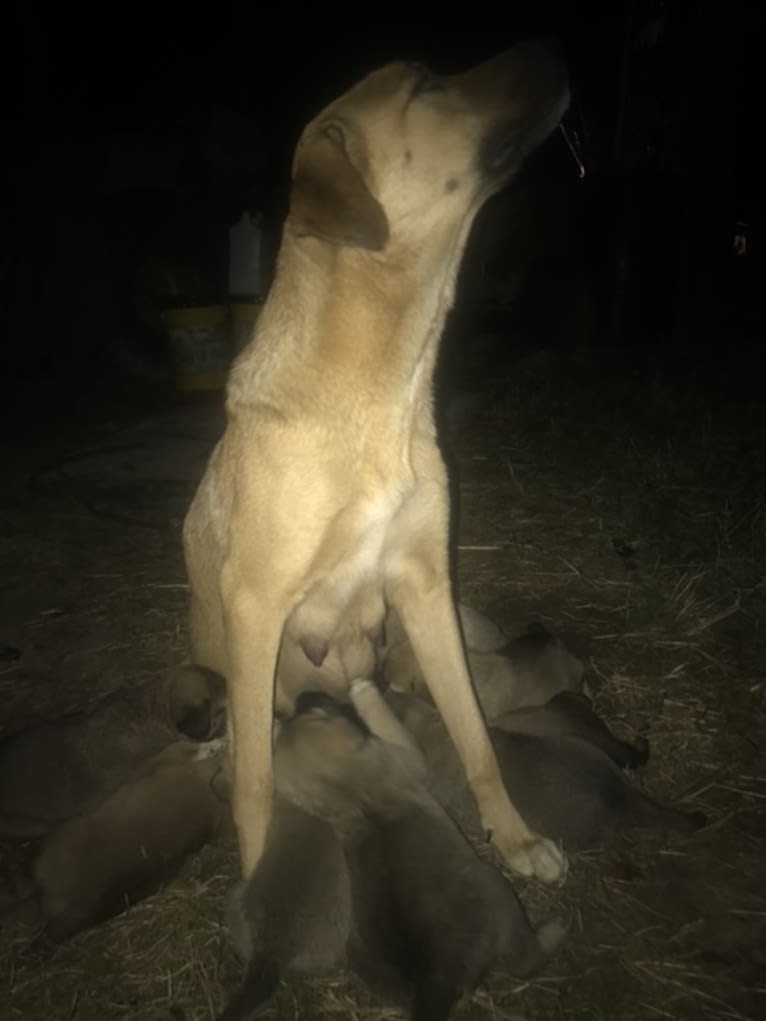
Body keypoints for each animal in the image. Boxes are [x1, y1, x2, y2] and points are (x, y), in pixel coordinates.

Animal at [182, 43, 571, 882]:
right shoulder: (256, 605)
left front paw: (515, 836)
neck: (372, 396)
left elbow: (474, 730)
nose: (554, 50)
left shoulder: (423, 584)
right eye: (426, 85)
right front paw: (260, 880)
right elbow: (257, 786)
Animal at [221, 677, 563, 1021]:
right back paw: (554, 930)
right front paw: (365, 691)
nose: (308, 694)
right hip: (498, 893)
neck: (350, 796)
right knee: (527, 960)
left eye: (312, 709)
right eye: (321, 710)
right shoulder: (406, 759)